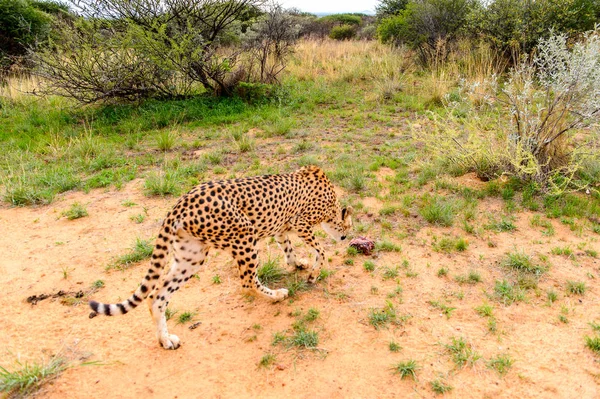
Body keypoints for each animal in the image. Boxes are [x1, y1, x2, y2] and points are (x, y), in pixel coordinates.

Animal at [88, 166, 352, 350]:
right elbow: (321, 250)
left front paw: (298, 263)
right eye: (348, 228)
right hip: (245, 234)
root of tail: (180, 202)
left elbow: (287, 247)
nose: (347, 237)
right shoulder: (300, 223)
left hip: (191, 256)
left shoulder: (282, 227)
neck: (331, 207)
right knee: (247, 281)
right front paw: (313, 273)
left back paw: (165, 340)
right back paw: (276, 295)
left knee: (156, 295)